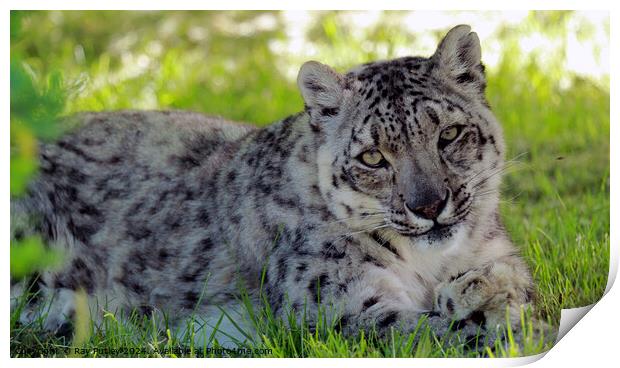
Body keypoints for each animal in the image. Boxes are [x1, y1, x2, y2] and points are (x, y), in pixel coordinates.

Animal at [12, 25, 540, 348]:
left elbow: (516, 283)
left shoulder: (497, 254)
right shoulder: (342, 307)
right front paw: (501, 328)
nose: (429, 205)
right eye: (373, 156)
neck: (431, 266)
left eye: (448, 134)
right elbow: (431, 333)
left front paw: (485, 291)